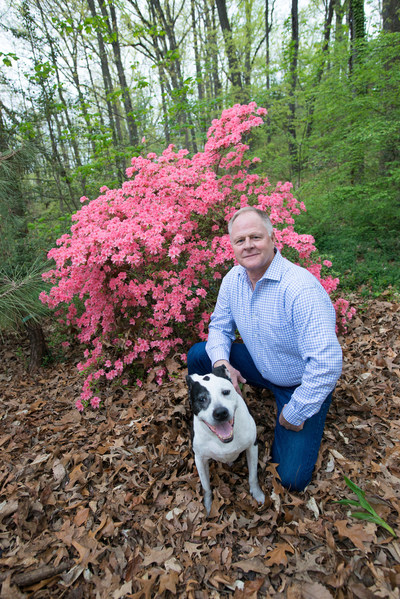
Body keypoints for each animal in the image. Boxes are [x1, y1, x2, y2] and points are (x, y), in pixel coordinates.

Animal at [187, 366, 266, 516]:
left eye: (225, 392)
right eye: (202, 398)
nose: (220, 412)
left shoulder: (252, 447)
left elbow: (253, 476)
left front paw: (257, 494)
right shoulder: (199, 459)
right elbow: (206, 487)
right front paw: (208, 505)